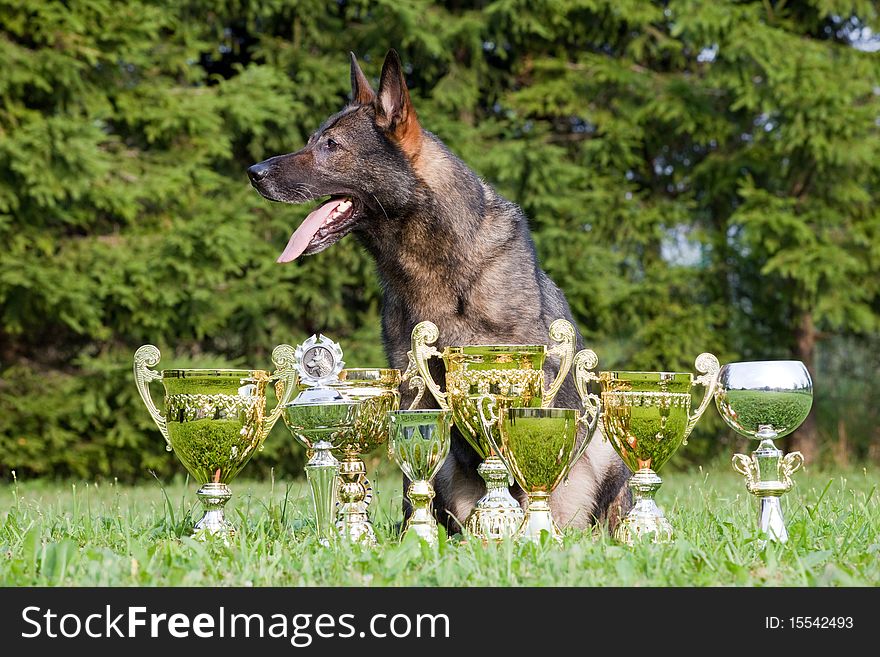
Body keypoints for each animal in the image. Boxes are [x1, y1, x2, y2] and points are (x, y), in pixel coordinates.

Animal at [249, 51, 632, 532]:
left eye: (331, 146)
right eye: (312, 140)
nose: (253, 173)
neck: (438, 267)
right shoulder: (414, 394)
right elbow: (413, 484)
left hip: (603, 450)